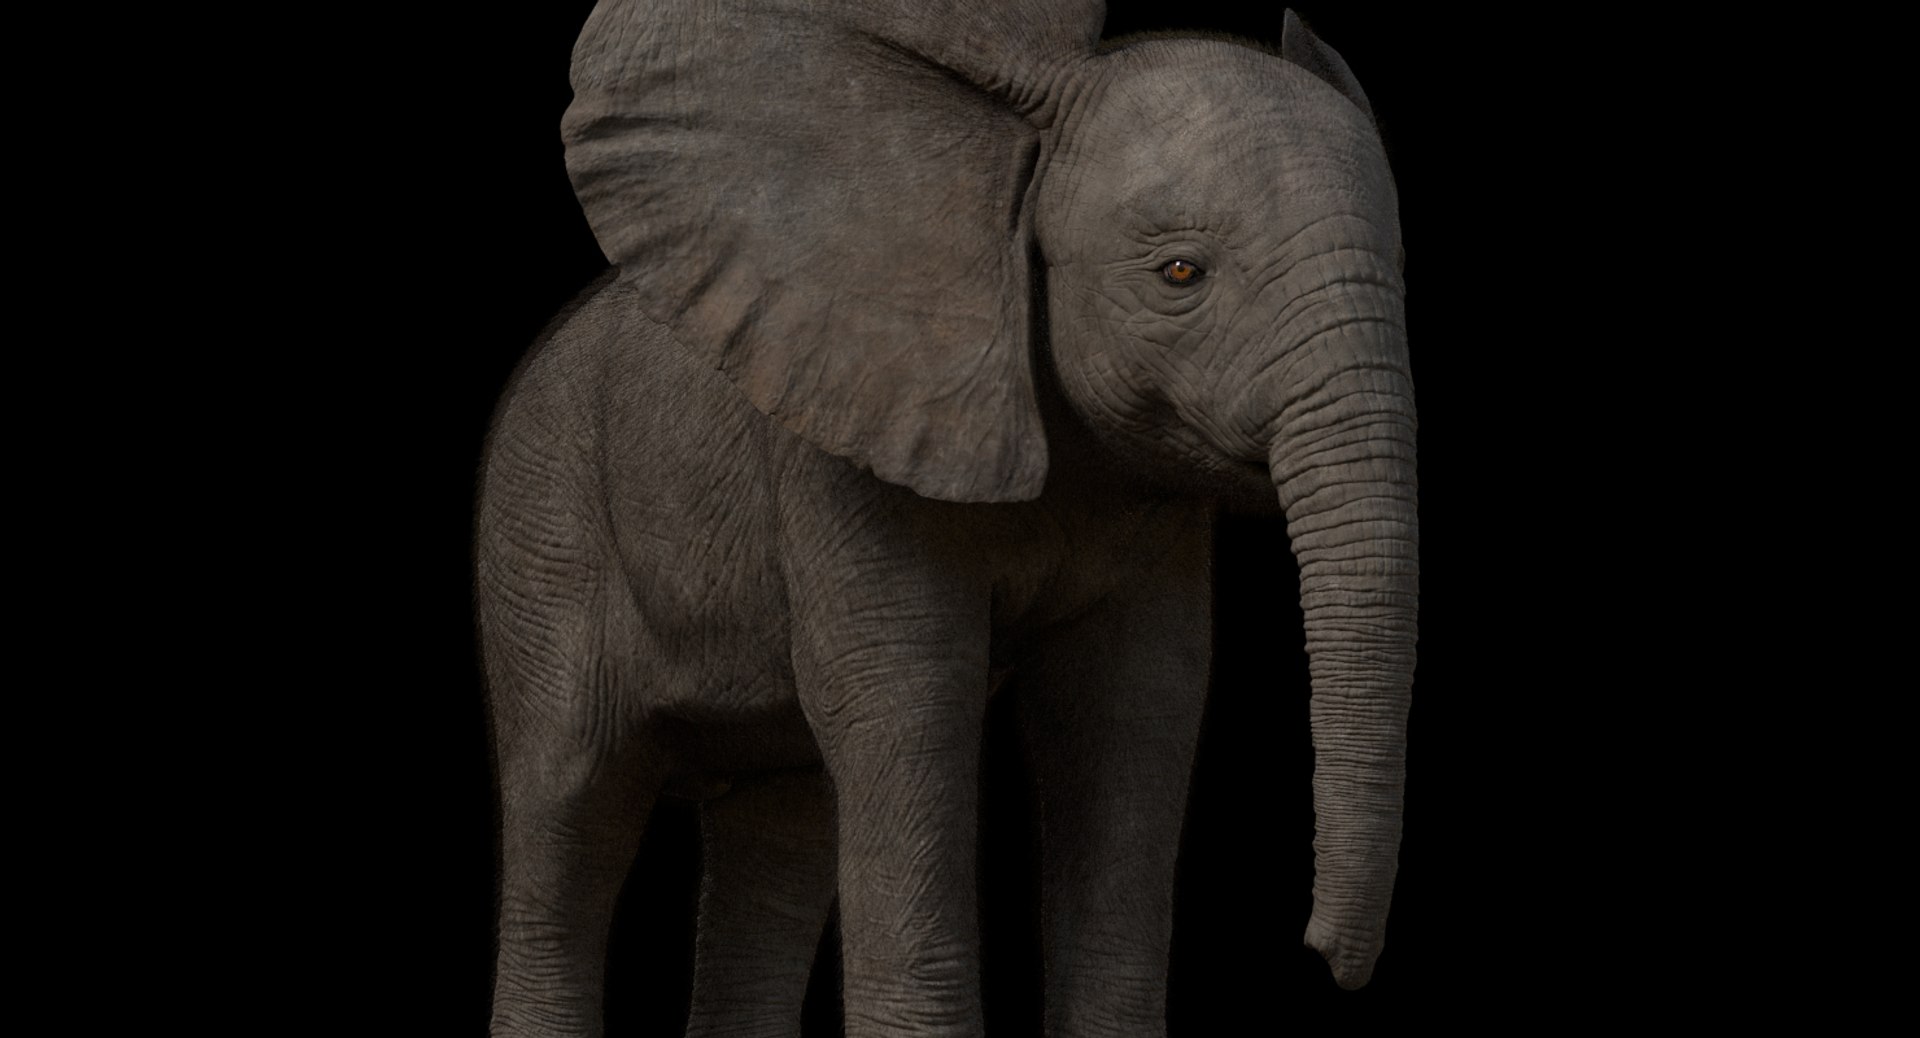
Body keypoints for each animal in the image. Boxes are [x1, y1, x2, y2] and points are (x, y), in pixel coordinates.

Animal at [476, 1, 1419, 1035]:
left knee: (779, 830)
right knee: (573, 813)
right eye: (1180, 273)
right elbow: (914, 700)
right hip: (543, 530)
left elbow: (1134, 708)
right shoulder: (848, 454)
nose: (1320, 957)